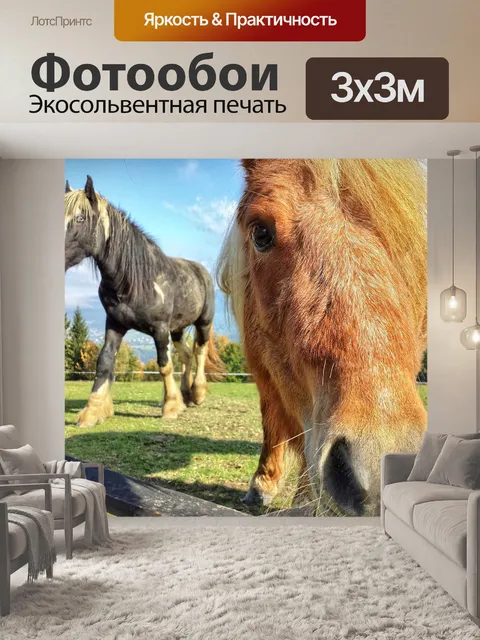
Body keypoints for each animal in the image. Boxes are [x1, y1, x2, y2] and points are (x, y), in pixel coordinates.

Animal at [65, 176, 225, 427]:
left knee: (200, 351)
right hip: (177, 329)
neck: (134, 280)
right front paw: (93, 410)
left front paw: (170, 407)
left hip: (203, 322)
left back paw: (198, 393)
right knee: (187, 355)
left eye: (80, 218)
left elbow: (164, 365)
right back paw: (186, 395)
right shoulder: (115, 325)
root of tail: (201, 271)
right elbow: (105, 362)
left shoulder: (159, 329)